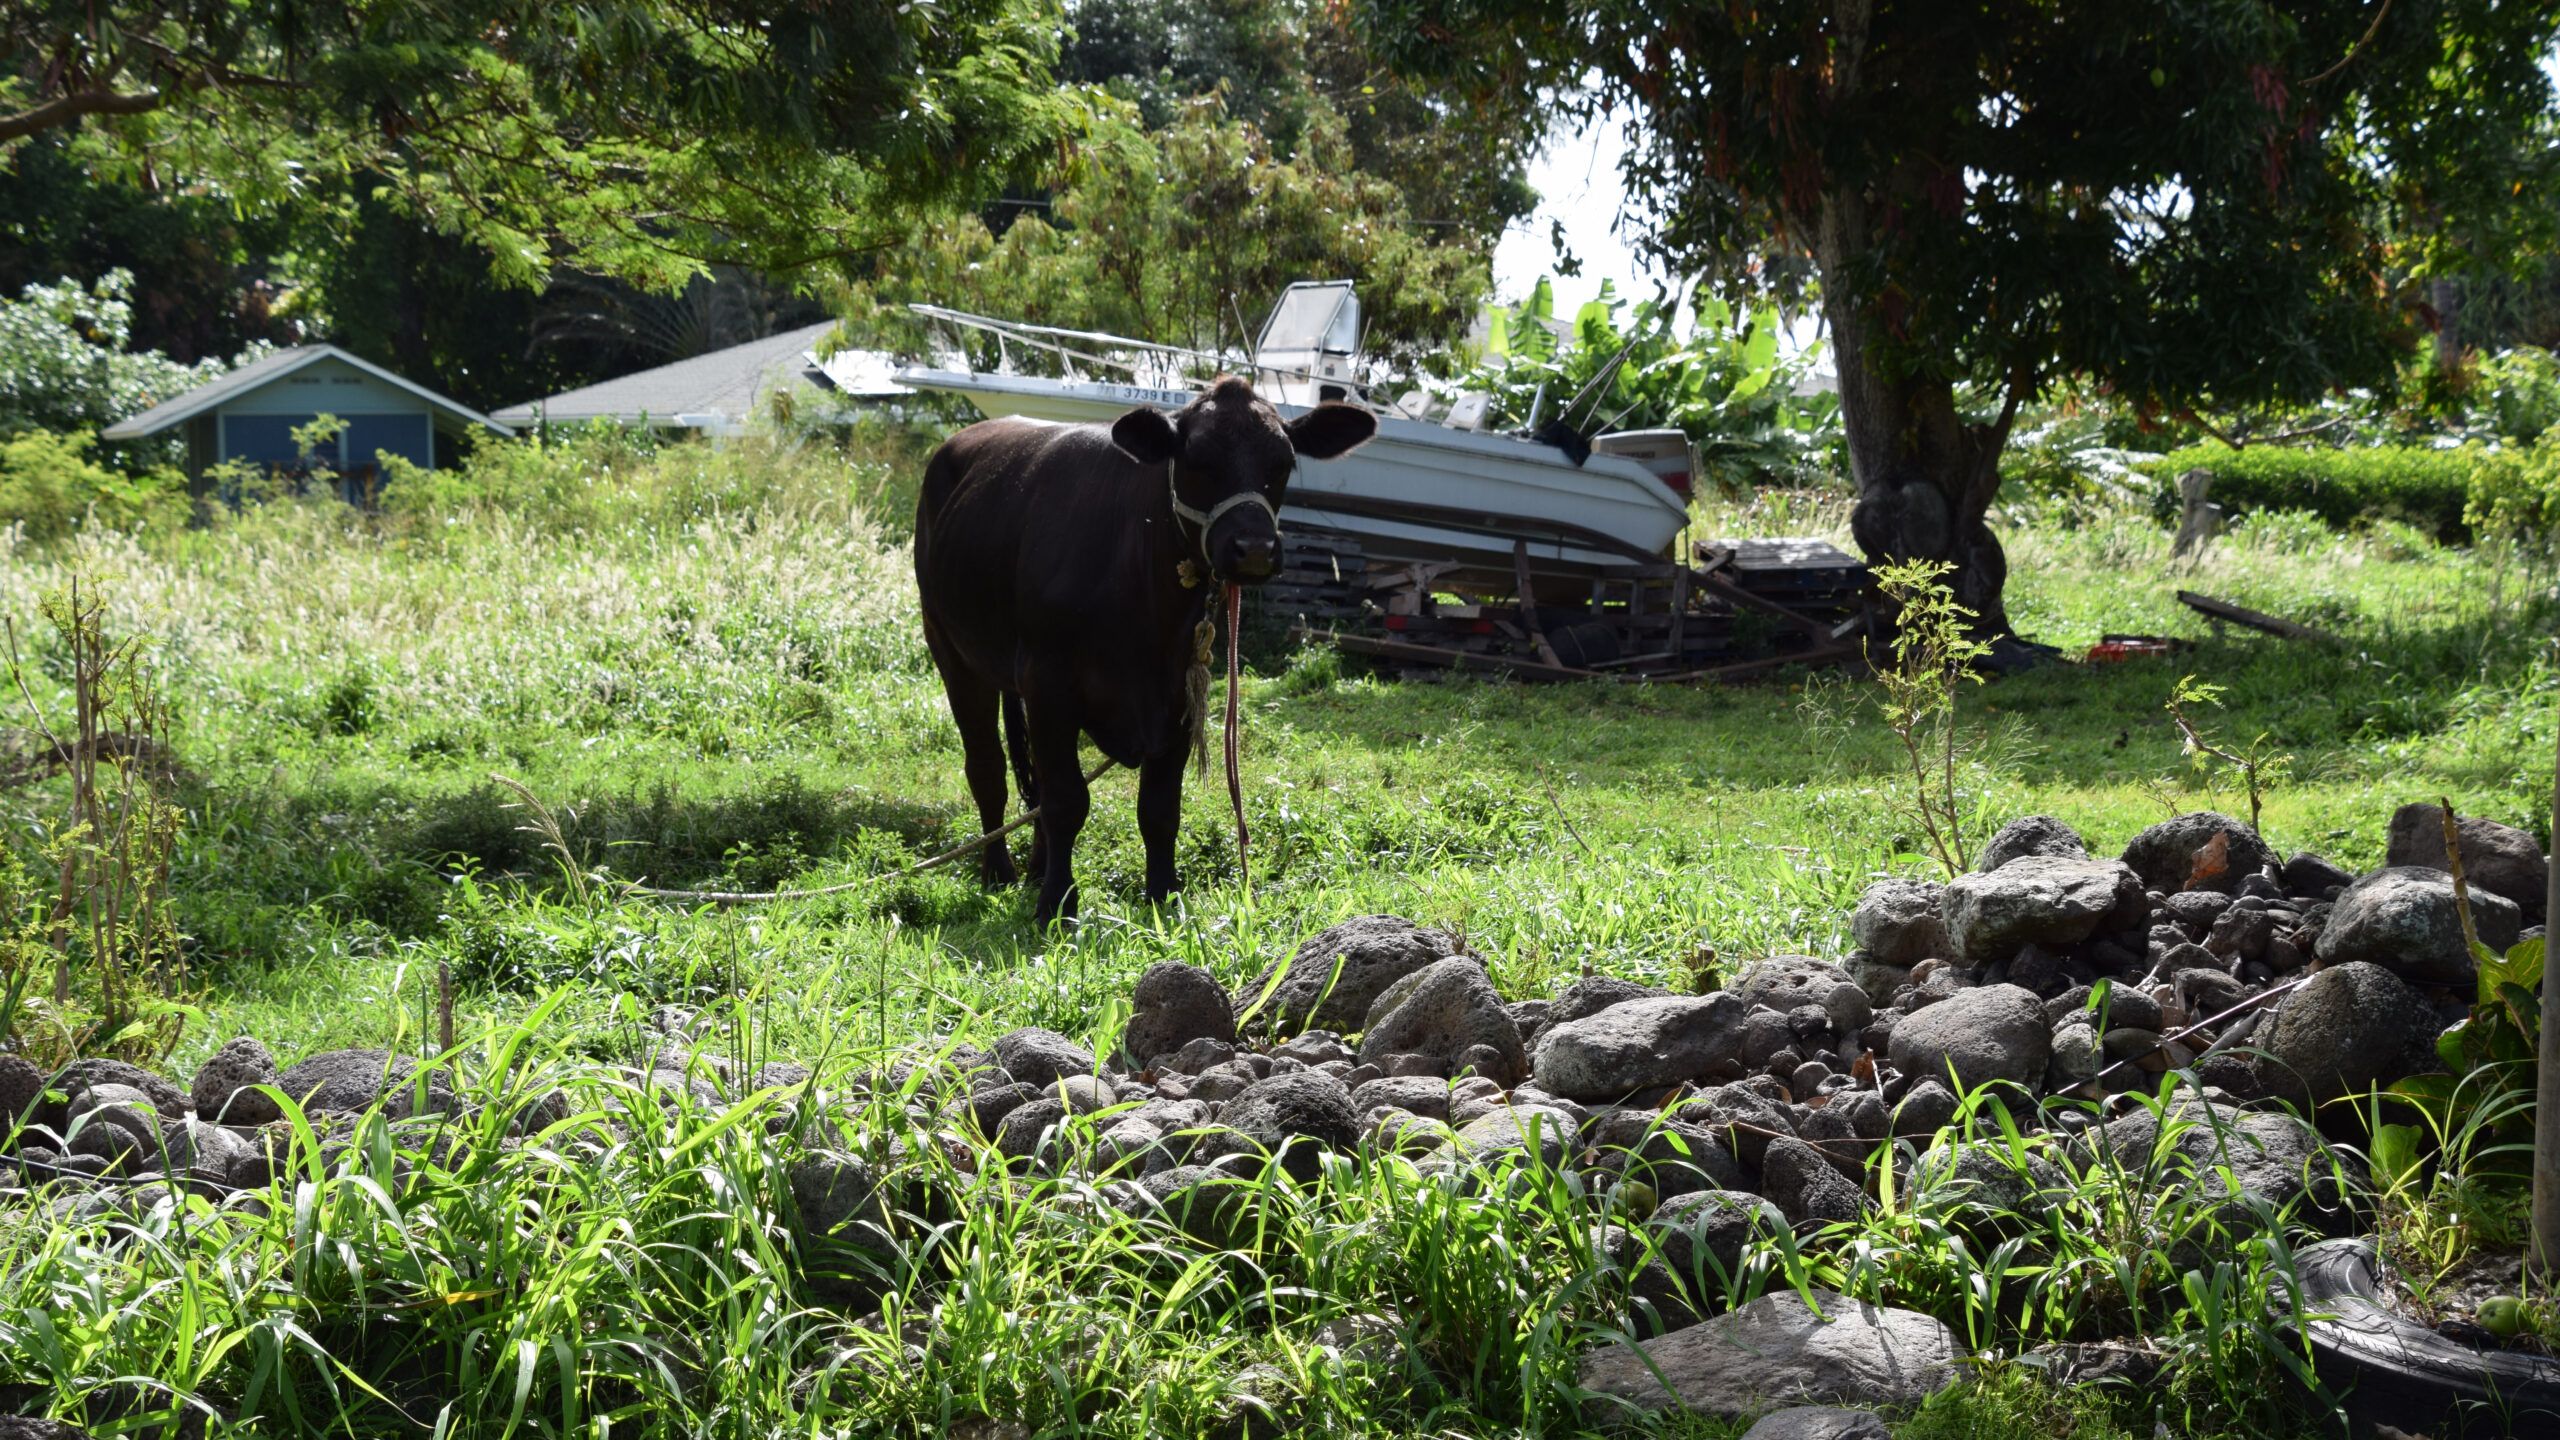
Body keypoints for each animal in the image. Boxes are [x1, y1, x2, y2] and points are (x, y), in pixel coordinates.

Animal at [911, 379, 1372, 917]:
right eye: (1196, 457)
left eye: (1282, 462)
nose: (1254, 549)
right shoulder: (1049, 683)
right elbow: (1067, 800)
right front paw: (1058, 905)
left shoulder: (1180, 691)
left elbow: (1158, 809)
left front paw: (1163, 895)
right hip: (951, 648)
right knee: (987, 768)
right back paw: (999, 871)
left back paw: (1036, 869)